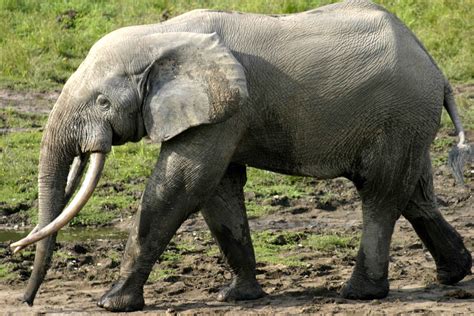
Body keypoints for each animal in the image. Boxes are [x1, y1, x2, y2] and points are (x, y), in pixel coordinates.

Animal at [10, 0, 470, 312]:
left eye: (103, 102)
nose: (27, 300)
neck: (161, 35)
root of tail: (437, 69)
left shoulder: (222, 112)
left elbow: (181, 185)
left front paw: (112, 303)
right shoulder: (221, 114)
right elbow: (218, 191)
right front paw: (238, 295)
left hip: (399, 116)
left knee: (380, 195)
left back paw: (359, 293)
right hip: (406, 123)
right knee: (415, 195)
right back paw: (456, 272)